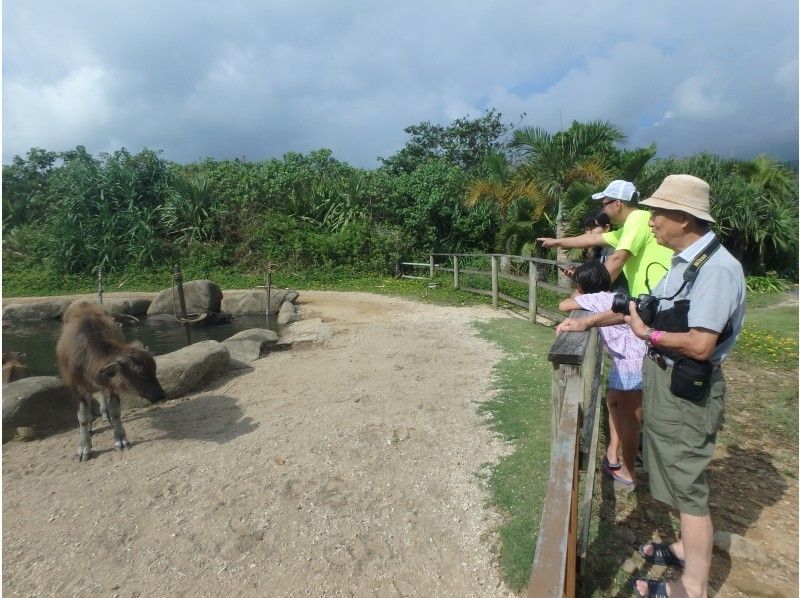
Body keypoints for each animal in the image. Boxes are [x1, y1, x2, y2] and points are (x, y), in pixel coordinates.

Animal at [56, 302, 166, 462]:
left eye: (154, 369)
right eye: (141, 373)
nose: (161, 395)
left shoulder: (113, 386)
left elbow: (115, 411)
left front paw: (120, 440)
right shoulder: (78, 387)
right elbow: (82, 418)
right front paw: (84, 449)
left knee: (102, 394)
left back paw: (105, 415)